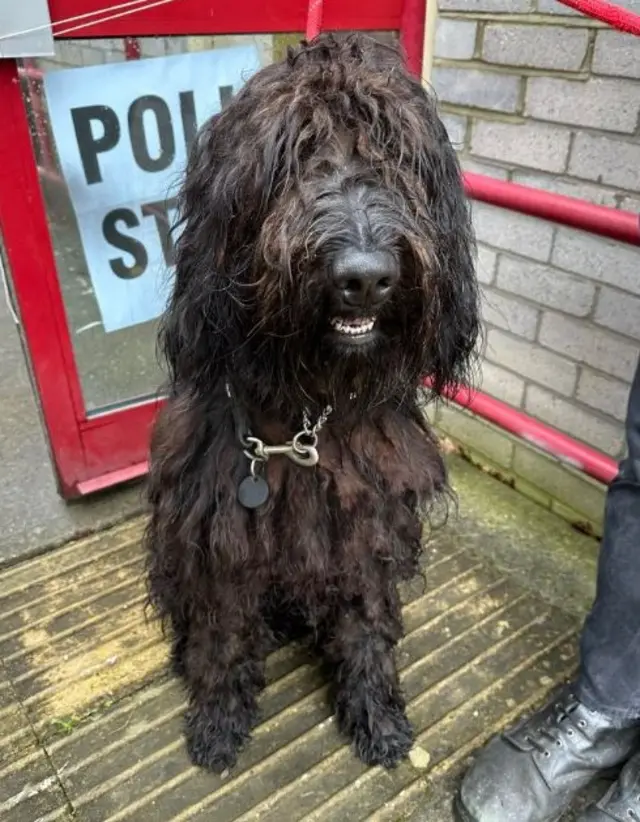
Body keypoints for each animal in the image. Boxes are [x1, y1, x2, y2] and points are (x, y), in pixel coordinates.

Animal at [144, 33, 476, 780]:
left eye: (394, 155)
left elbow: (366, 629)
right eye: (293, 156)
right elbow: (224, 635)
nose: (365, 277)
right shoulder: (221, 533)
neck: (305, 407)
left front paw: (376, 715)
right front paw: (218, 721)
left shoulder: (366, 521)